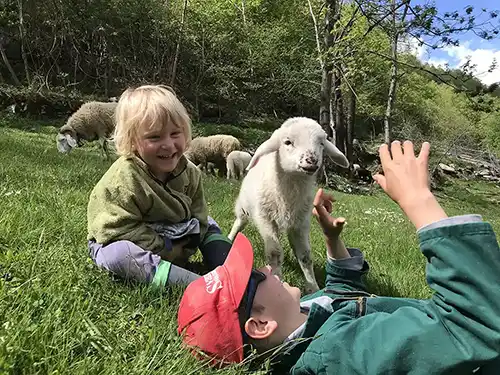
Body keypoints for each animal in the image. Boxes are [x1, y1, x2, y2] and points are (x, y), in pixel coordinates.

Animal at [229, 117, 350, 294]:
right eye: (287, 142)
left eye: (321, 143)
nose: (312, 161)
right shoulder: (265, 219)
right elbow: (274, 253)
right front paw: (277, 281)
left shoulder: (301, 224)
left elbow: (305, 256)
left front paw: (313, 287)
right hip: (244, 209)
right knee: (239, 224)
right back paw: (230, 238)